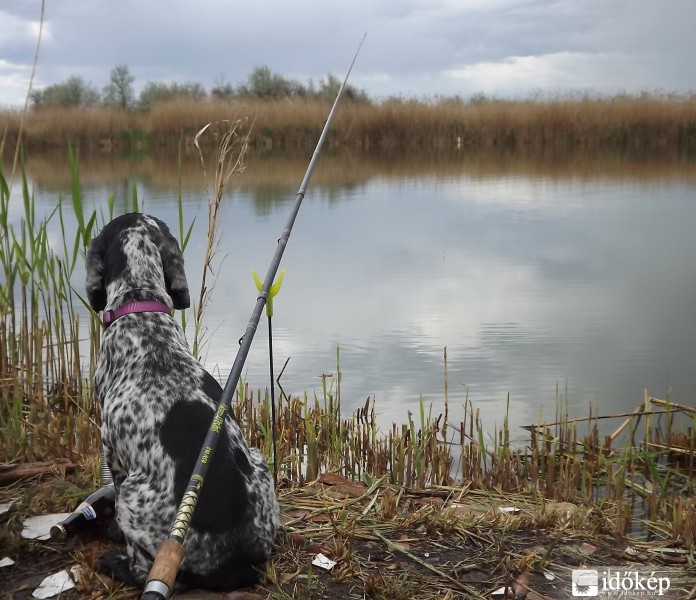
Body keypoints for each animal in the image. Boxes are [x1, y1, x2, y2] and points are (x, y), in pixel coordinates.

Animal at [87, 213, 280, 588]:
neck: (142, 305)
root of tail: (236, 561)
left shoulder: (112, 452)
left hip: (133, 498)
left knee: (143, 570)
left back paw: (115, 563)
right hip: (261, 461)